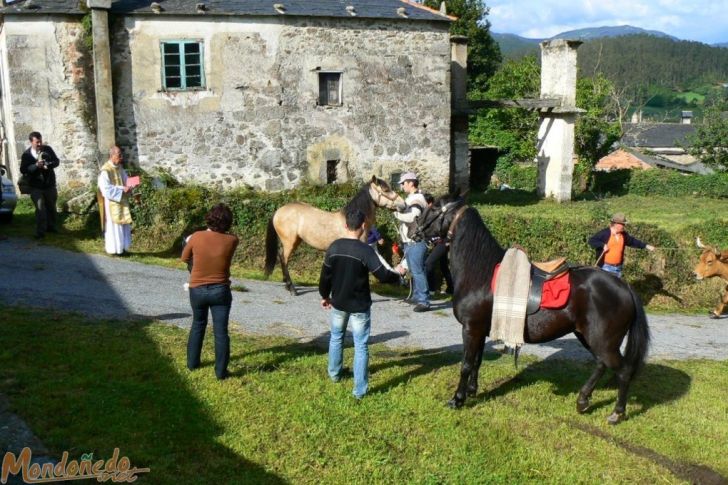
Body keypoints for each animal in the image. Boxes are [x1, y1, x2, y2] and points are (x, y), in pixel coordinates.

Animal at [264, 176, 406, 294]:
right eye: (386, 189)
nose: (403, 204)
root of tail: (279, 211)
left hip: (296, 241)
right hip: (289, 242)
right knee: (283, 259)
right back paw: (292, 288)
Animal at [418, 194, 652, 424]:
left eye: (434, 207)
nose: (415, 228)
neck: (480, 272)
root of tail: (624, 286)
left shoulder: (471, 329)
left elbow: (466, 364)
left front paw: (458, 399)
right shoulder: (481, 330)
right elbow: (476, 361)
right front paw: (472, 391)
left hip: (603, 341)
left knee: (623, 371)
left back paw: (617, 412)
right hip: (589, 336)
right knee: (602, 364)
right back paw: (583, 400)